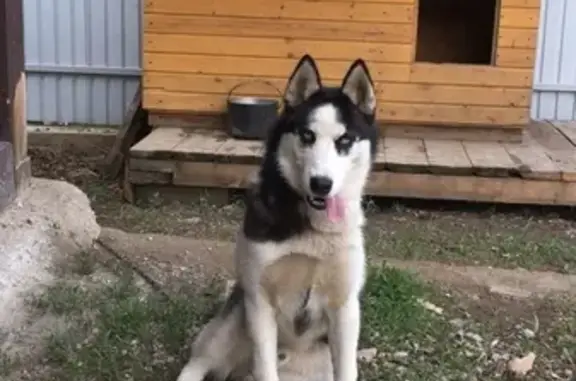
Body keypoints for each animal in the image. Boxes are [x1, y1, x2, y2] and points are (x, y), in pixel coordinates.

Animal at [178, 54, 380, 381]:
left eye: (345, 140)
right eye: (307, 135)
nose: (321, 184)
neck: (312, 230)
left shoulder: (346, 308)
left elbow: (348, 369)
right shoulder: (259, 302)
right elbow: (264, 367)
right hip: (230, 322)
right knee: (197, 363)